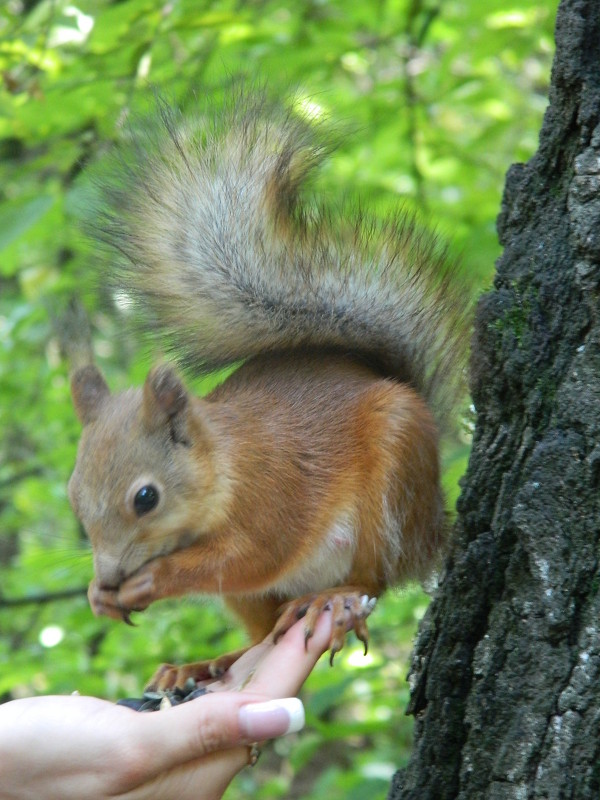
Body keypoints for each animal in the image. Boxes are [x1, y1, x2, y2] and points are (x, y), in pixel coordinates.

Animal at [67, 90, 468, 692]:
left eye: (146, 498)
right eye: (74, 499)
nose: (110, 574)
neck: (223, 466)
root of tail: (434, 525)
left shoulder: (273, 490)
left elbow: (249, 557)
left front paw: (151, 580)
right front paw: (100, 596)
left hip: (394, 478)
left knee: (378, 572)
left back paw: (338, 596)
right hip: (258, 600)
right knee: (259, 630)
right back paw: (205, 664)